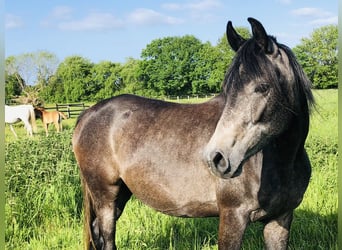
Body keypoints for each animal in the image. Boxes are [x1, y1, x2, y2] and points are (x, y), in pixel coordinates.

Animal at [73, 18, 314, 250]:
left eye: (263, 87)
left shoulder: (280, 219)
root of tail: (87, 115)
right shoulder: (232, 217)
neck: (281, 162)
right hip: (105, 197)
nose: (217, 158)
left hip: (120, 195)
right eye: (227, 90)